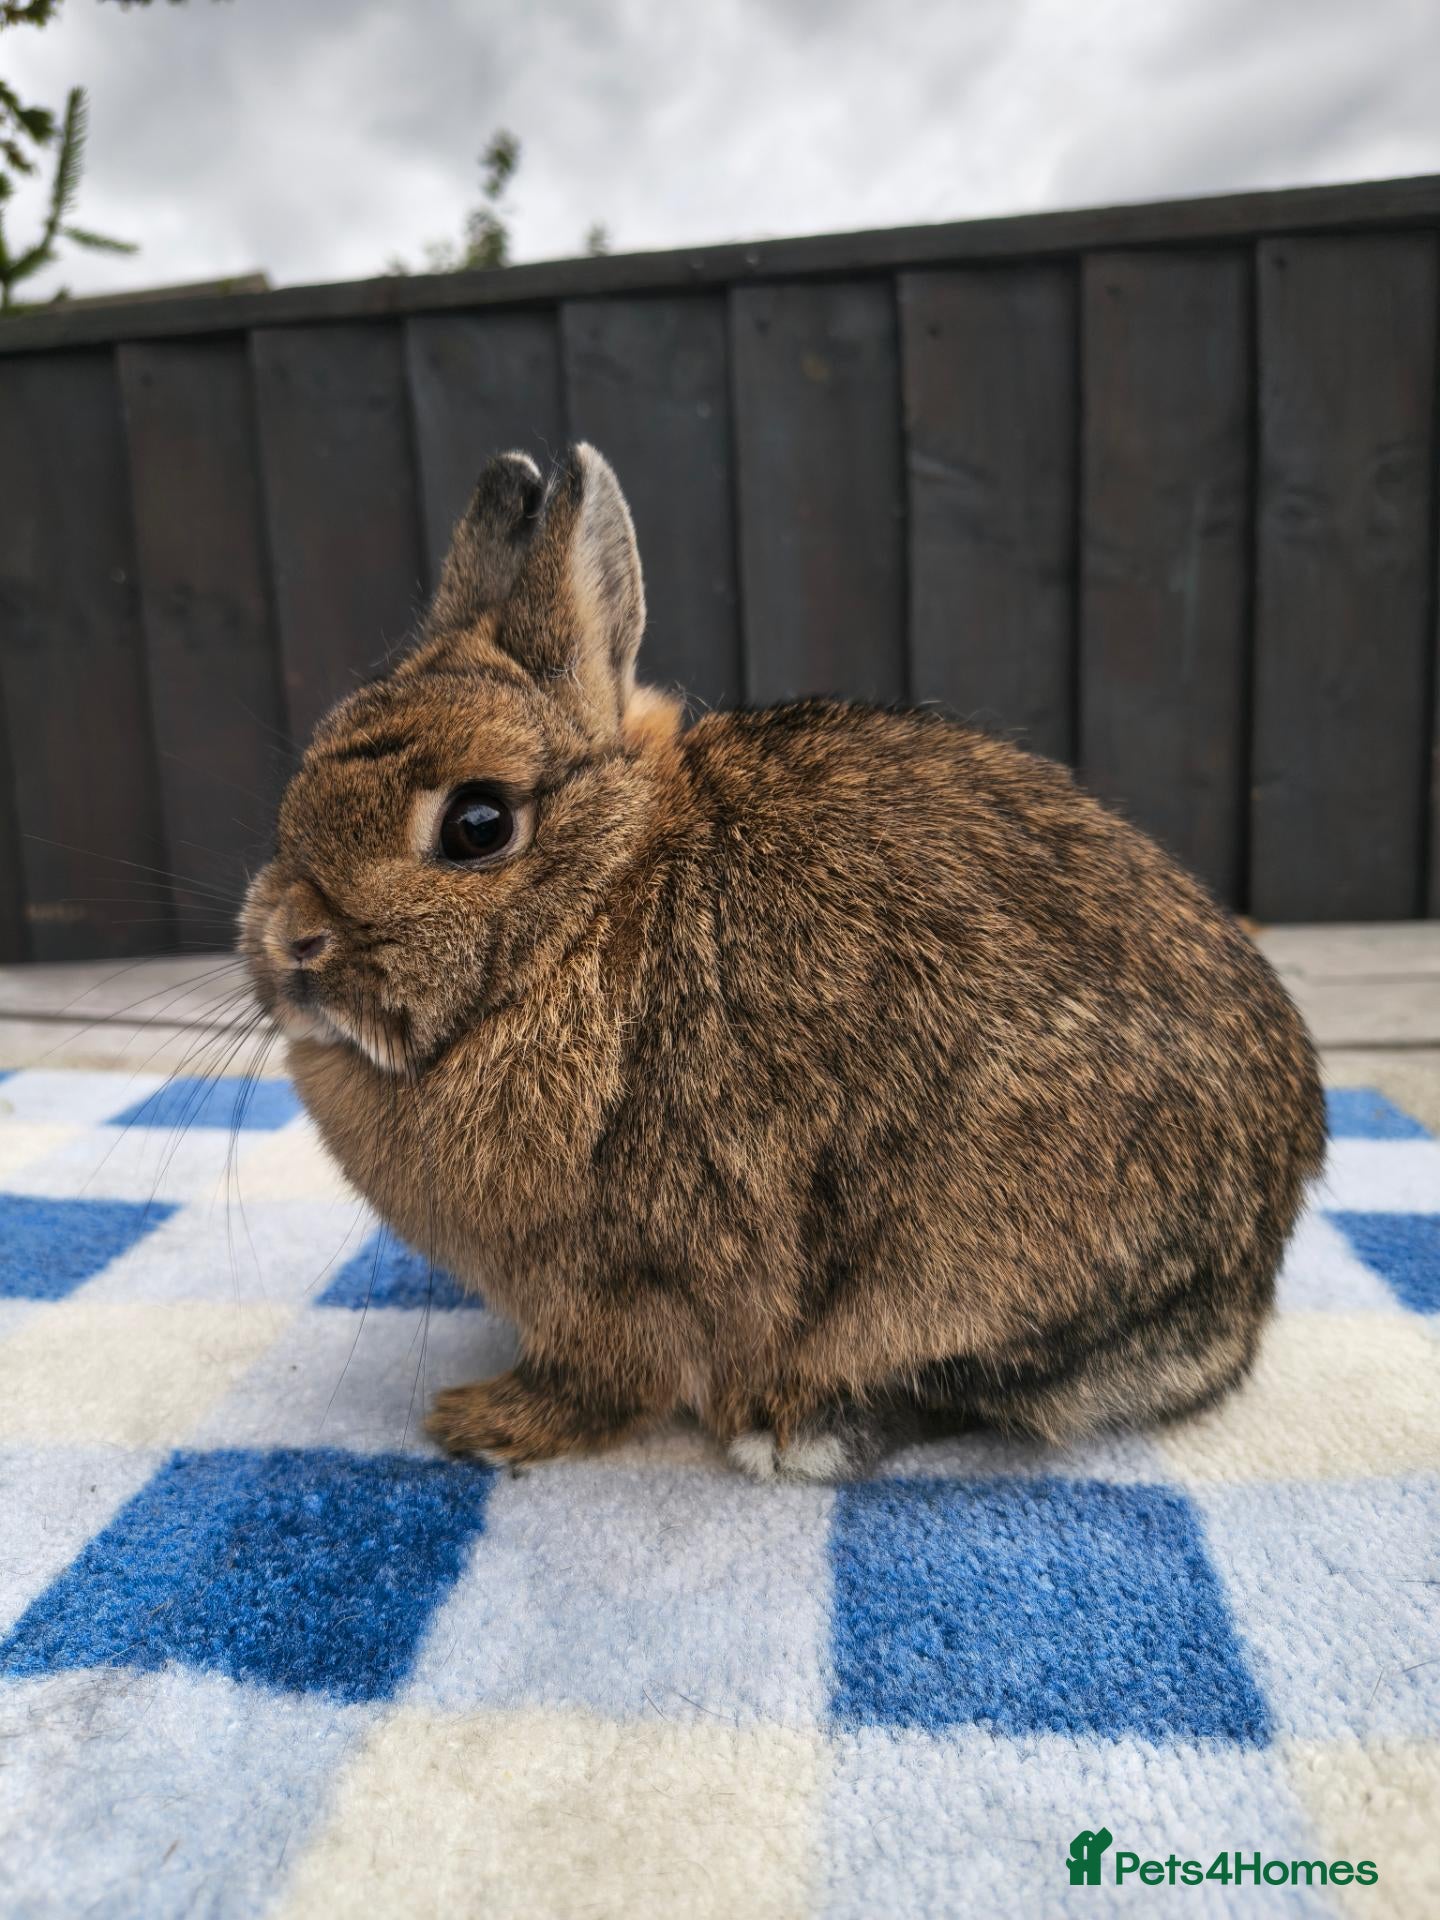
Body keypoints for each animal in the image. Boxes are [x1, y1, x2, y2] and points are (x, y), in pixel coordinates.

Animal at [240, 443, 1326, 1481]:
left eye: (478, 824)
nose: (290, 942)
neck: (592, 910)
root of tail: (1249, 1280)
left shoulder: (623, 1282)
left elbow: (599, 1383)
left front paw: (485, 1424)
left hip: (961, 1255)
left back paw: (793, 1432)